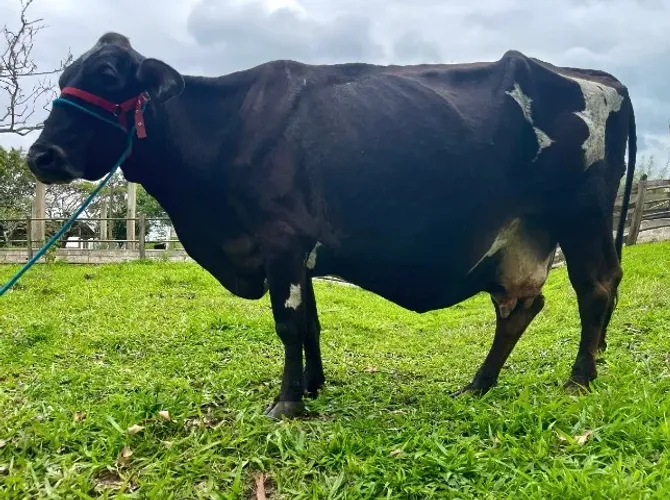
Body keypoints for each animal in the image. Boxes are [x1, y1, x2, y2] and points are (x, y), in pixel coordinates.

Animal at [25, 32, 637, 419]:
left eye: (107, 74)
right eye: (63, 78)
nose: (40, 156)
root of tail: (600, 78)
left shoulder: (281, 241)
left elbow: (290, 324)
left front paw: (288, 402)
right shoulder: (300, 252)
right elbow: (312, 323)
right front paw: (314, 387)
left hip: (581, 217)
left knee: (596, 288)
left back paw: (580, 379)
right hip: (523, 235)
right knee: (519, 306)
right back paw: (478, 386)